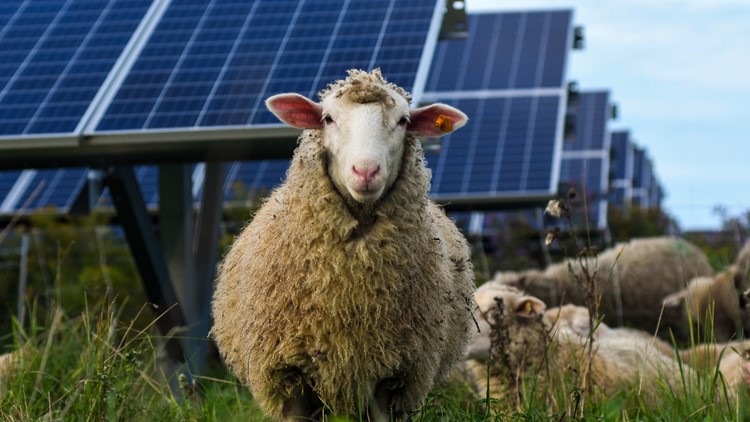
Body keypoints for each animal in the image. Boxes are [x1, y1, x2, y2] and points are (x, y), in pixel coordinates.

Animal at [211, 69, 476, 421]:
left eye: (403, 120)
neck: (348, 287)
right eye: (328, 118)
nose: (365, 171)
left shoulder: (396, 375)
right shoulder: (287, 373)